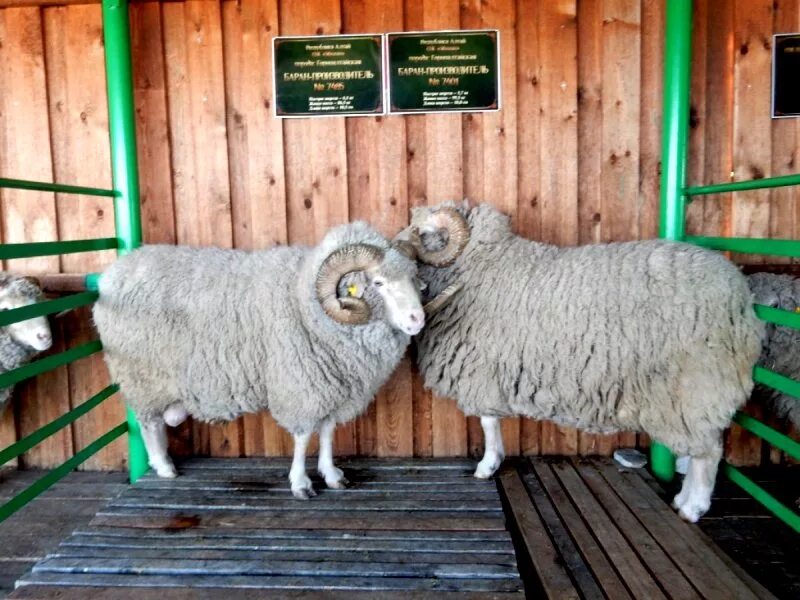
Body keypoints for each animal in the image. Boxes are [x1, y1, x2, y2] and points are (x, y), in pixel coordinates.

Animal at [95, 223, 424, 500]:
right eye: (378, 282)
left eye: (412, 278)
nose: (417, 320)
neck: (305, 301)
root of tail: (112, 275)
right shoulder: (300, 383)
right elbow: (303, 436)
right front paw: (300, 483)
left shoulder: (332, 385)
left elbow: (328, 431)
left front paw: (331, 475)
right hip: (142, 378)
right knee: (149, 424)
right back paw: (164, 467)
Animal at [404, 202, 764, 520]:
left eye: (423, 233)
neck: (478, 267)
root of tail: (741, 298)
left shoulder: (482, 369)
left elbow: (488, 423)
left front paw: (487, 465)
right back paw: (683, 499)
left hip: (698, 384)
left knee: (709, 452)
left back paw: (692, 507)